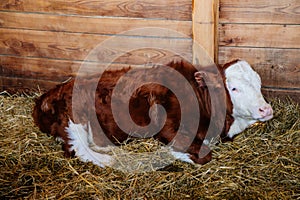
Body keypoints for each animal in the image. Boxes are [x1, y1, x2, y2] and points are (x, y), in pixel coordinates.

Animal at [32, 59, 272, 167]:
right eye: (234, 88)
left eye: (259, 83)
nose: (266, 109)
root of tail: (46, 96)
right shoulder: (168, 125)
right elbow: (202, 155)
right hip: (73, 119)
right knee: (77, 149)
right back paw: (107, 158)